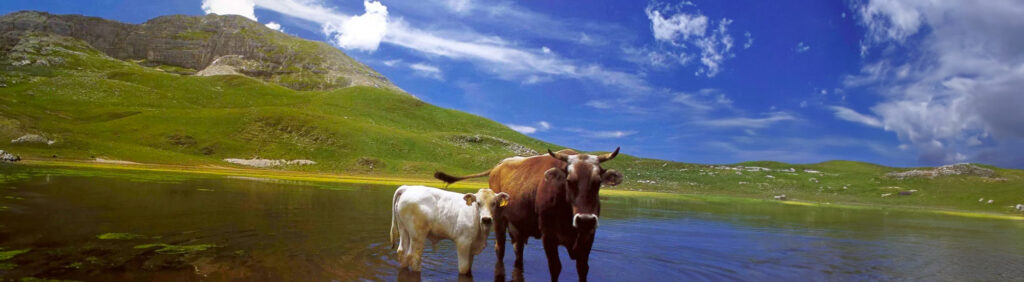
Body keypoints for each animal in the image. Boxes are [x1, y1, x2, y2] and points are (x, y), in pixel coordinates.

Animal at [434, 149, 622, 280]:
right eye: (569, 181)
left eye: (597, 182)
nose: (585, 219)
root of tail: (498, 165)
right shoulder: (548, 235)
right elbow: (555, 267)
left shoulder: (588, 236)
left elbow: (583, 268)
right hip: (499, 221)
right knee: (500, 249)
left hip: (517, 226)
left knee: (518, 252)